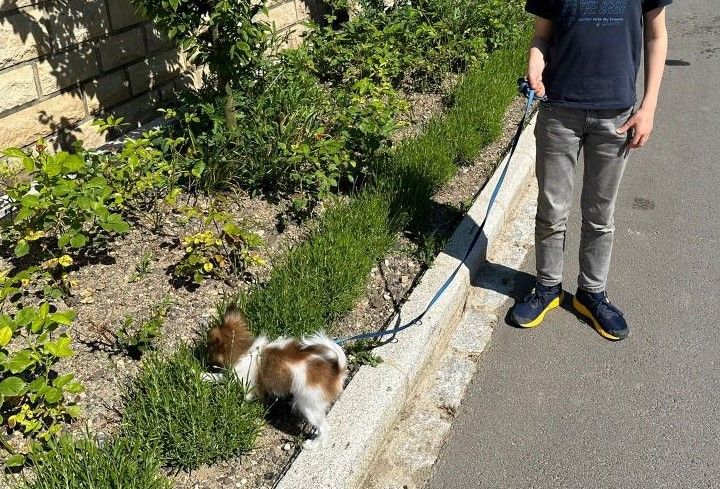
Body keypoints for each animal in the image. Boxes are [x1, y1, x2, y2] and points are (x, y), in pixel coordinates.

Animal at [202, 306, 348, 448]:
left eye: (208, 348)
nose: (204, 358)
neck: (244, 350)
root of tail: (336, 370)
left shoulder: (243, 382)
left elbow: (222, 378)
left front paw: (203, 375)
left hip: (309, 405)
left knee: (324, 428)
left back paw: (314, 444)